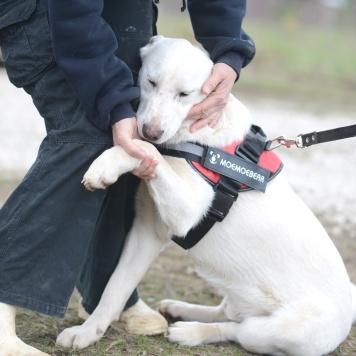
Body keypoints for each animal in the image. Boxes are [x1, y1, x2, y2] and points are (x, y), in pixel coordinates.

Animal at [56, 36, 356, 356]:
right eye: (151, 82)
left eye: (185, 94)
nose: (151, 131)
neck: (196, 138)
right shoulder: (147, 232)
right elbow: (114, 289)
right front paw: (88, 332)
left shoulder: (186, 212)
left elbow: (146, 151)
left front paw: (107, 165)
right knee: (228, 313)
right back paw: (178, 308)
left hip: (285, 332)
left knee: (236, 330)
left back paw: (190, 331)